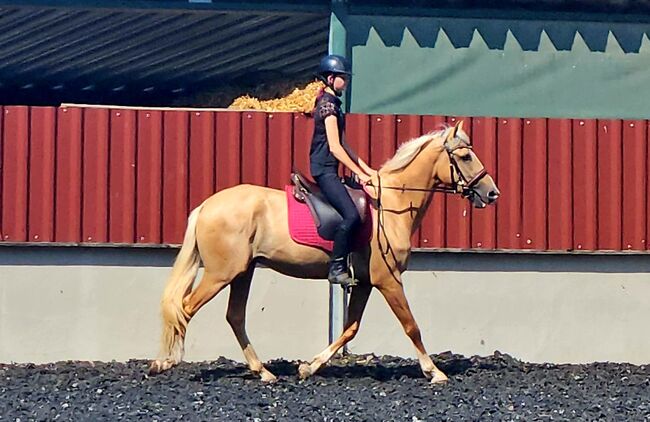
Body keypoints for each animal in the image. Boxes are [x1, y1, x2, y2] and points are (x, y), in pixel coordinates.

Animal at [149, 120, 498, 384]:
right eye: (465, 157)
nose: (492, 193)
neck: (392, 204)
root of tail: (206, 205)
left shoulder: (365, 283)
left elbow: (350, 329)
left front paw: (310, 366)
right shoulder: (388, 280)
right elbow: (411, 326)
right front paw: (435, 372)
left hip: (242, 272)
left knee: (234, 316)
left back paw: (263, 372)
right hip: (221, 274)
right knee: (185, 308)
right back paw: (165, 362)